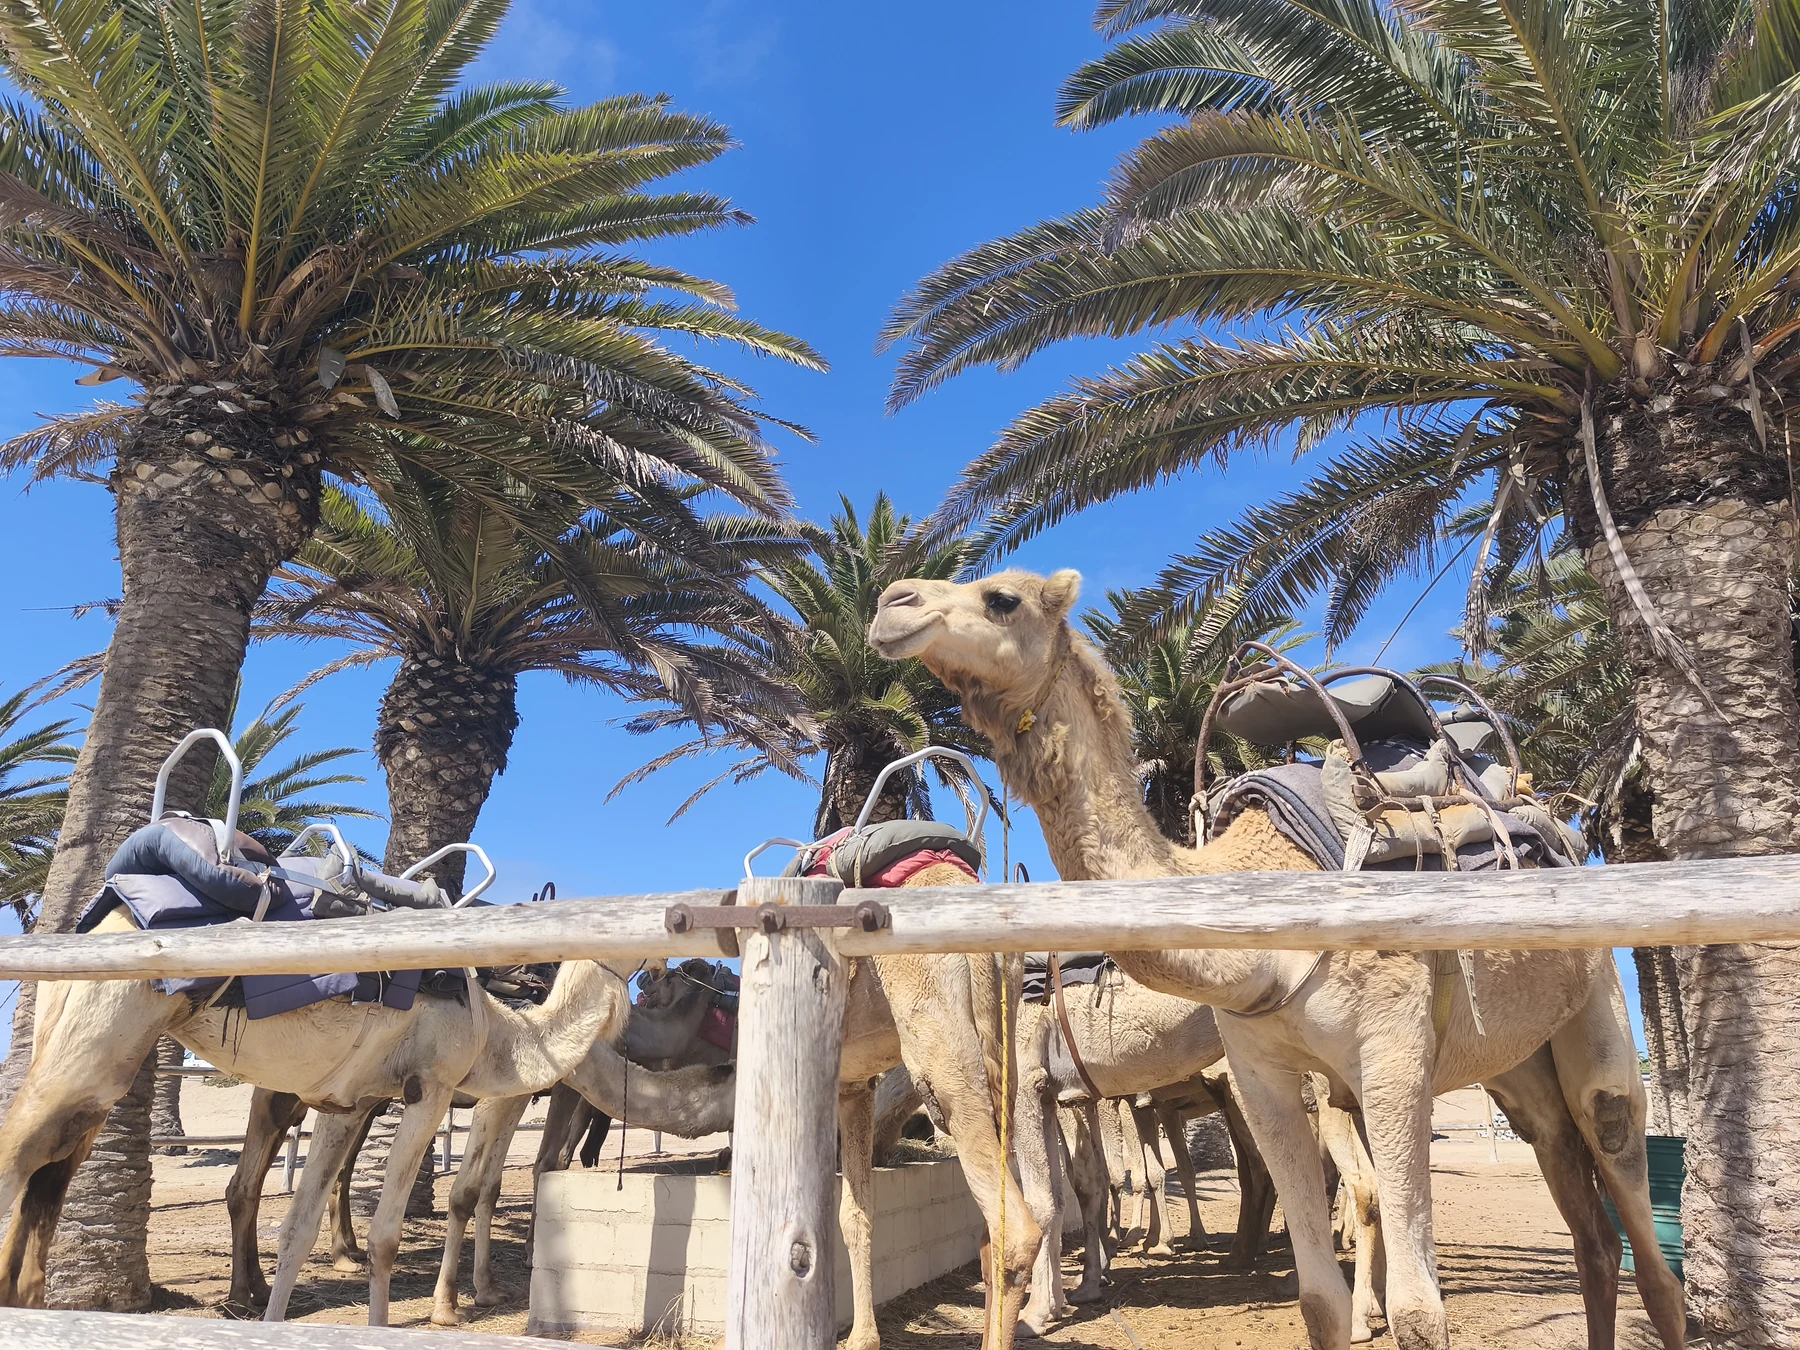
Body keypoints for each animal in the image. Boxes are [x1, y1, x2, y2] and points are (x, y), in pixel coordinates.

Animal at [0, 899, 638, 1326]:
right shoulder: (429, 1091)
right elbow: (387, 1235)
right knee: (20, 1156)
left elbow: (296, 1229)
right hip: (108, 1026)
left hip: (82, 1042)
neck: (499, 1029)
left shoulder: (346, 1103)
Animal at [870, 569, 1684, 1350]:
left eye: (1002, 598)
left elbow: (1421, 1313)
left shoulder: (1389, 1059)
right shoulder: (1258, 1074)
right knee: (1584, 1223)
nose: (891, 603)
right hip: (1514, 1069)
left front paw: (1051, 1309)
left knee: (1631, 1193)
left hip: (1595, 1004)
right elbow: (1314, 1300)